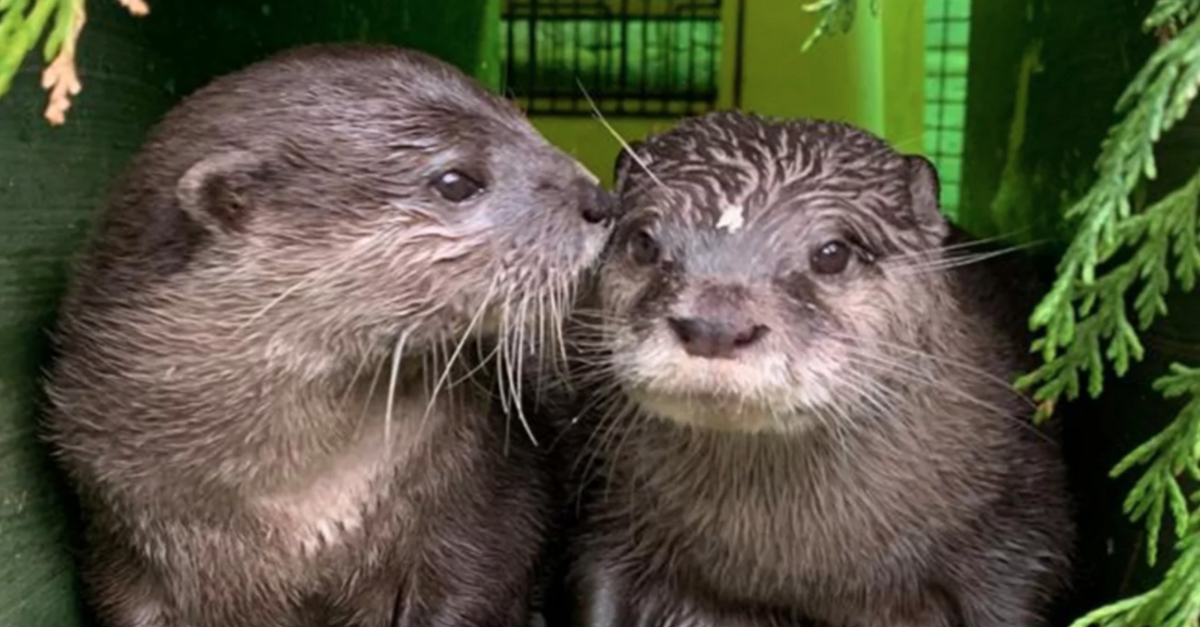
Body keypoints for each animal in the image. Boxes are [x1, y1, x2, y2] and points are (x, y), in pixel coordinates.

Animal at [42, 43, 614, 624]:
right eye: (456, 182)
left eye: (522, 119)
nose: (598, 198)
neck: (298, 504)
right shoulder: (122, 540)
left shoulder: (484, 511)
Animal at [549, 111, 1075, 624]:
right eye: (643, 243)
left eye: (832, 254)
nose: (715, 325)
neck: (801, 567)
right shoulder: (606, 516)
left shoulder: (1019, 540)